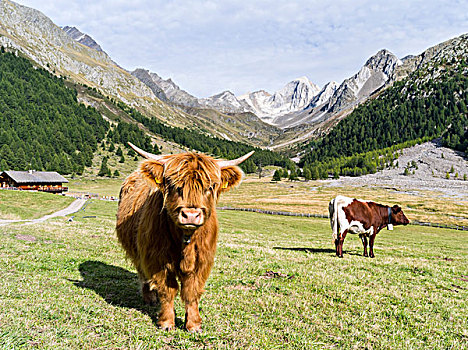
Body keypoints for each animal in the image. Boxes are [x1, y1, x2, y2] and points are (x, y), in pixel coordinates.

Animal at [115, 142, 254, 330]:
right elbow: (168, 290)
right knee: (143, 274)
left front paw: (193, 324)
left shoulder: (202, 260)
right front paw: (167, 322)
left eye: (210, 187)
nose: (190, 215)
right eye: (174, 185)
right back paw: (150, 298)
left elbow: (192, 291)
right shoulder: (156, 258)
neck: (185, 239)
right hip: (138, 252)